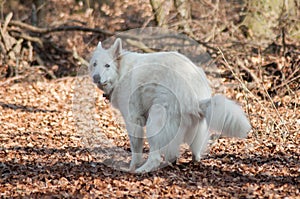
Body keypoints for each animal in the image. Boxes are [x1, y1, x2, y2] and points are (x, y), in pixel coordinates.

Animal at [88, 38, 251, 172]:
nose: (96, 77)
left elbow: (135, 148)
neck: (121, 72)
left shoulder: (134, 120)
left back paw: (142, 170)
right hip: (193, 128)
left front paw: (132, 166)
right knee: (192, 152)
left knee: (155, 157)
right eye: (94, 64)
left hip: (155, 118)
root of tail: (194, 100)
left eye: (107, 65)